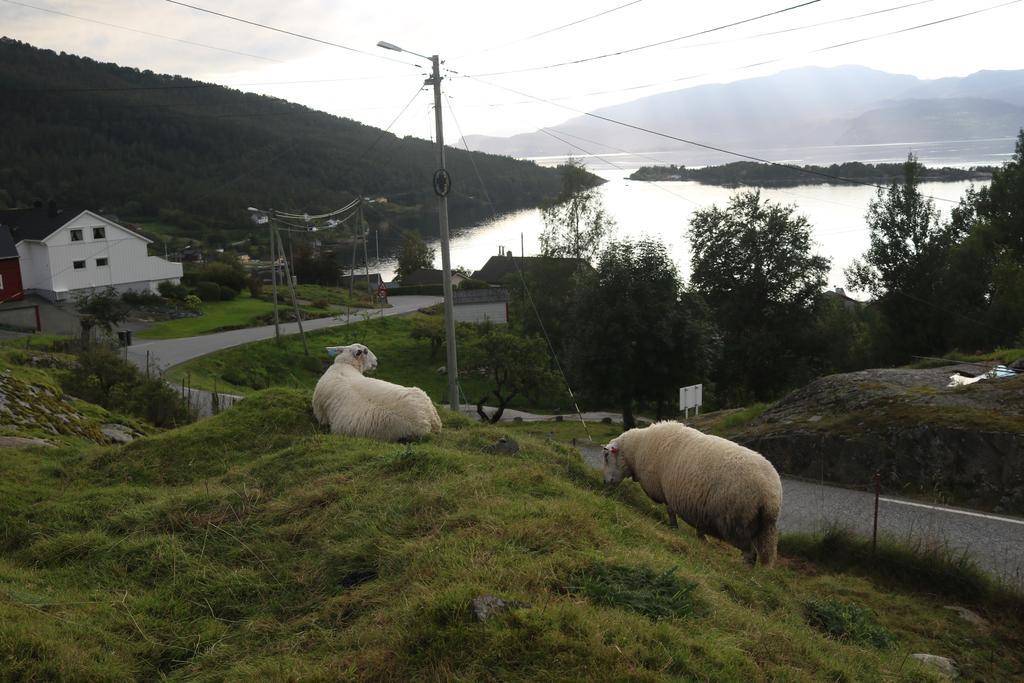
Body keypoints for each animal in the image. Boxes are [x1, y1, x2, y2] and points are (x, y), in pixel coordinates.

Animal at [602, 421, 778, 565]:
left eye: (606, 455)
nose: (604, 482)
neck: (637, 449)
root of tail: (770, 496)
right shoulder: (700, 509)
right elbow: (698, 524)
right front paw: (701, 538)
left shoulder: (666, 490)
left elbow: (670, 510)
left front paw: (673, 527)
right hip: (762, 528)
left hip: (737, 522)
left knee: (749, 552)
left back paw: (744, 568)